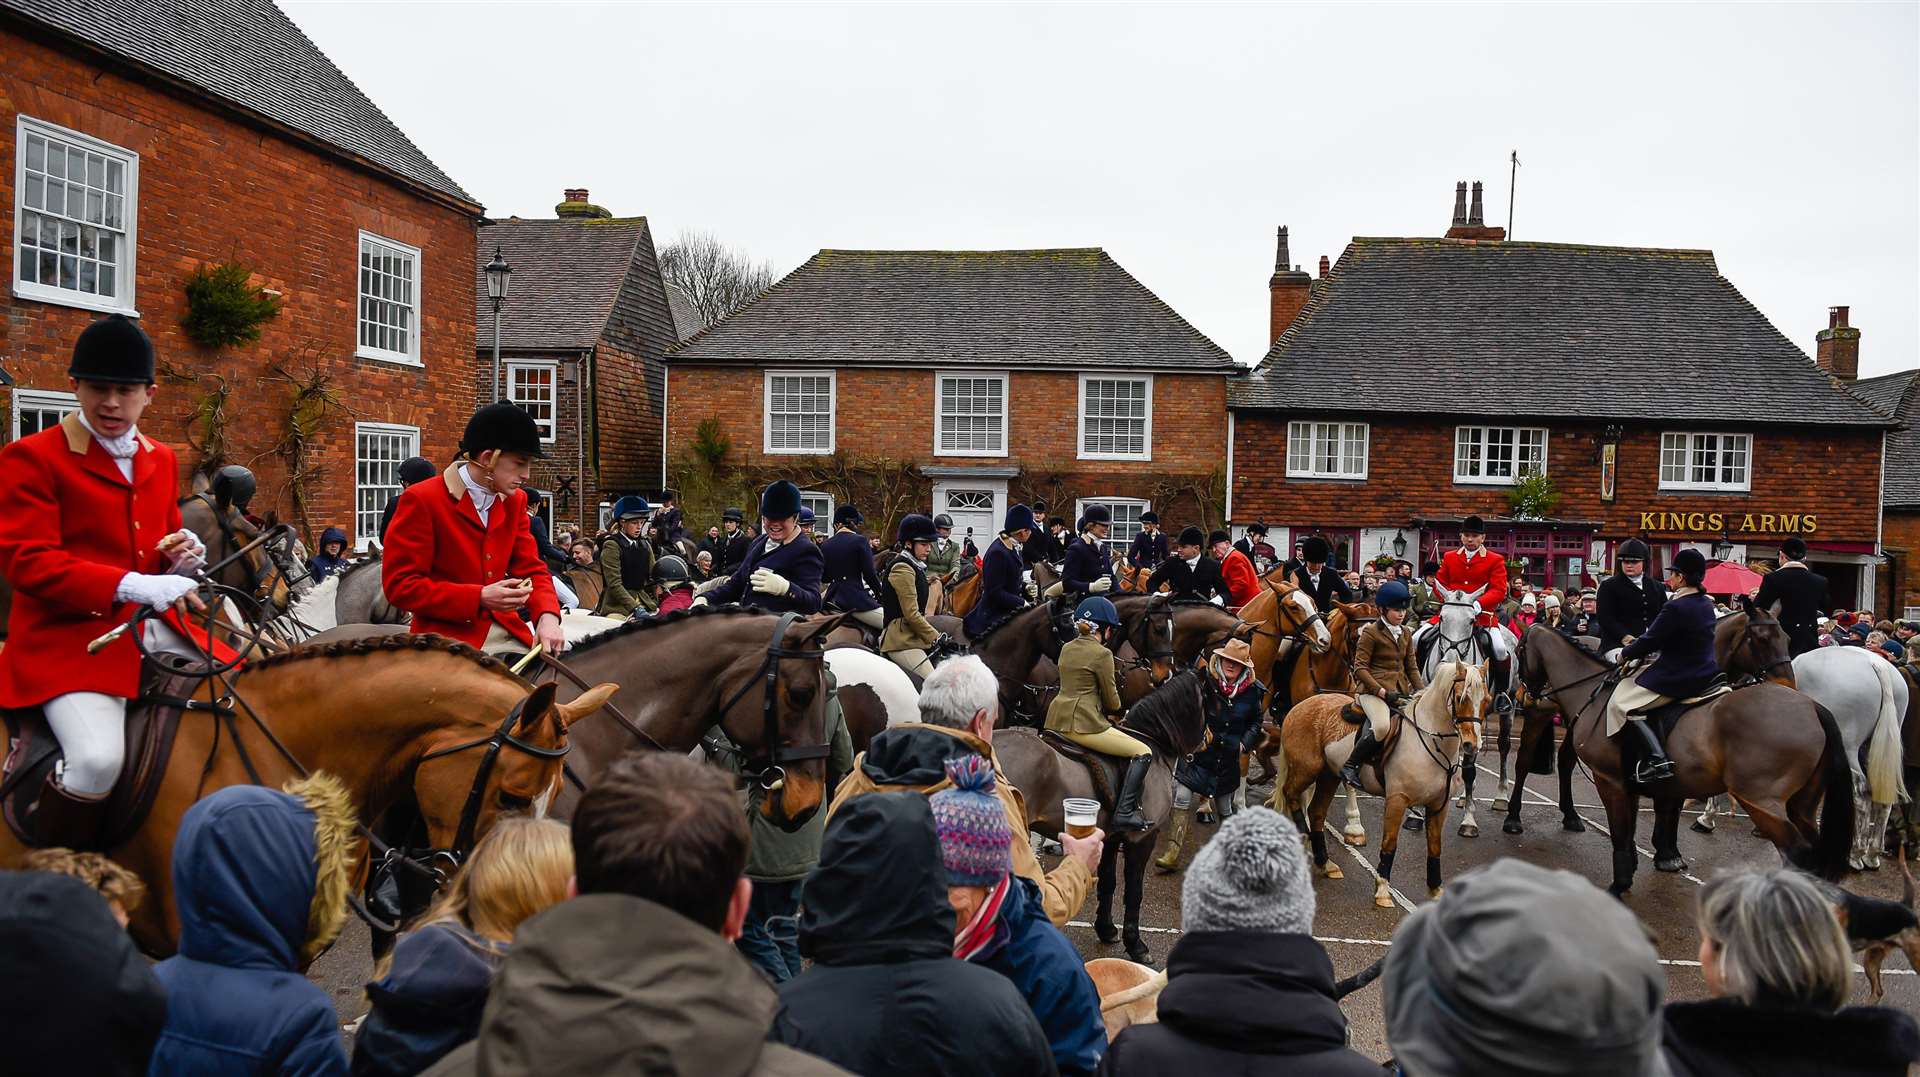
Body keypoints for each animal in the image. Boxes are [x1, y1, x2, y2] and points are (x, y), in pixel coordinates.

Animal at [998, 671, 1205, 967]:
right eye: (1210, 698)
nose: (1205, 742)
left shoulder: (1109, 837)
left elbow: (1108, 882)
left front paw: (1106, 930)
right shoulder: (1142, 838)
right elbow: (1134, 891)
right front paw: (1136, 945)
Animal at [1274, 660, 1482, 902]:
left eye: (1485, 699)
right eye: (1460, 697)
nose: (1471, 745)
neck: (1429, 742)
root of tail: (1298, 707)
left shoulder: (1439, 805)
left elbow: (1435, 847)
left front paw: (1436, 890)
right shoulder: (1397, 799)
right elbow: (1390, 843)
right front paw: (1383, 889)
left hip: (1328, 775)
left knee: (1316, 812)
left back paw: (1326, 863)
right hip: (1306, 769)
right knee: (1290, 793)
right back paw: (1304, 835)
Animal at [1520, 622, 1850, 898]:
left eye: (1521, 650)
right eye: (1764, 638)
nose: (1526, 694)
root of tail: (1812, 706)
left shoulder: (1610, 780)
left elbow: (1621, 833)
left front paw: (1622, 882)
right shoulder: (1636, 783)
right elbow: (1633, 828)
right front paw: (1649, 862)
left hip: (1761, 801)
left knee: (1799, 854)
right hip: (1802, 805)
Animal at [1697, 645, 1904, 863]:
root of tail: (1876, 663)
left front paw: (1707, 818)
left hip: (1847, 747)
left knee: (1860, 792)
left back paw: (1856, 853)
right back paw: (1872, 853)